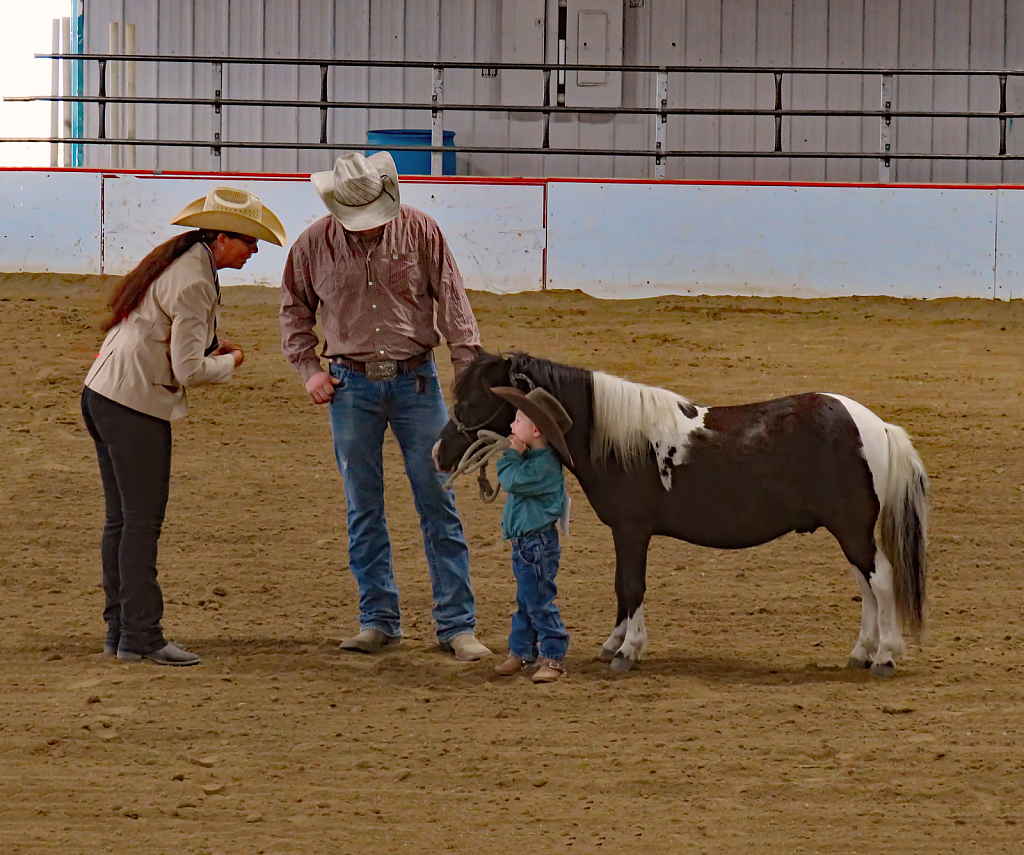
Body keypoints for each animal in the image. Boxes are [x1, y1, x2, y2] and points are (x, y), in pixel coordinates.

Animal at [432, 350, 929, 679]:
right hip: (849, 530)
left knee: (881, 581)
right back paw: (861, 653)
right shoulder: (626, 533)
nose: (438, 452)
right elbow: (621, 586)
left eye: (474, 401)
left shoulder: (632, 530)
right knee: (866, 587)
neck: (620, 439)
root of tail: (876, 426)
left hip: (852, 529)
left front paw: (627, 651)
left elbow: (631, 586)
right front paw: (613, 643)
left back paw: (885, 657)